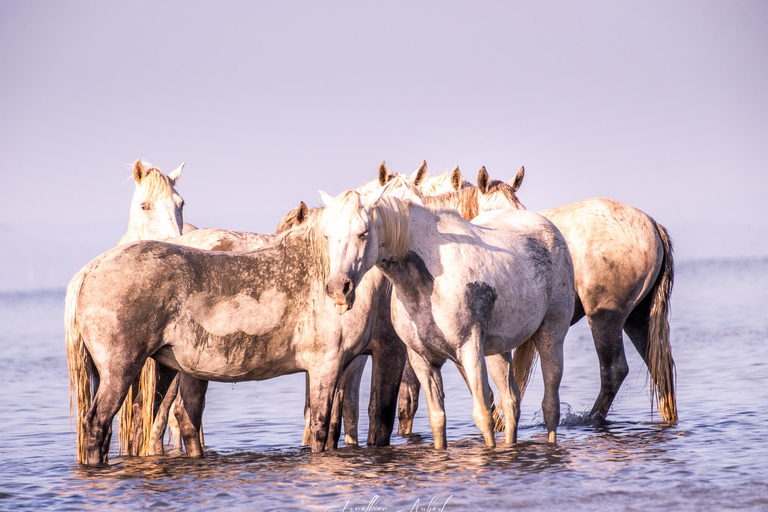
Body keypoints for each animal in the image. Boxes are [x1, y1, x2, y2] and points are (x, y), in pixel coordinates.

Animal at [318, 188, 568, 448]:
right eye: (326, 236)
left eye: (363, 233)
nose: (338, 288)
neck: (426, 284)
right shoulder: (422, 360)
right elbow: (437, 419)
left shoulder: (470, 351)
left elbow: (483, 415)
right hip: (498, 351)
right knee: (511, 402)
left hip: (552, 334)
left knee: (550, 405)